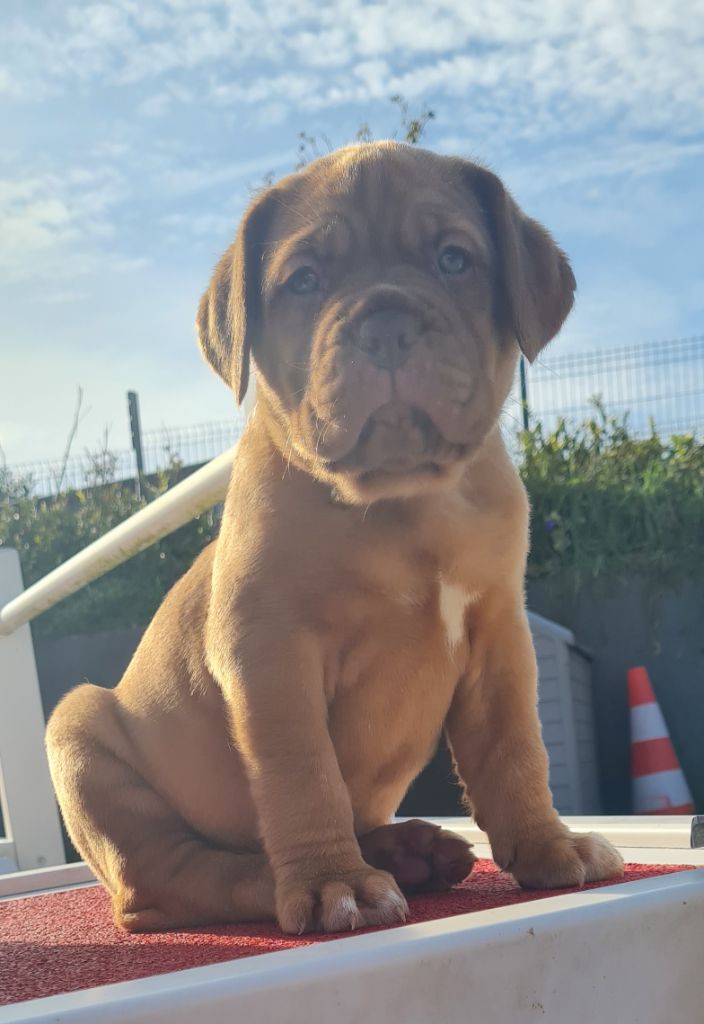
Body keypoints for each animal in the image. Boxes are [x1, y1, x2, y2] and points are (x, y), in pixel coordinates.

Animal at [46, 142, 623, 934]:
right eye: (305, 281)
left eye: (454, 259)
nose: (384, 325)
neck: (403, 500)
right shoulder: (269, 651)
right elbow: (303, 773)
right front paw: (332, 883)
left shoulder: (500, 635)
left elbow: (515, 750)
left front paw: (549, 845)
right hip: (80, 736)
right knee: (170, 880)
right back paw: (303, 877)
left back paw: (410, 852)